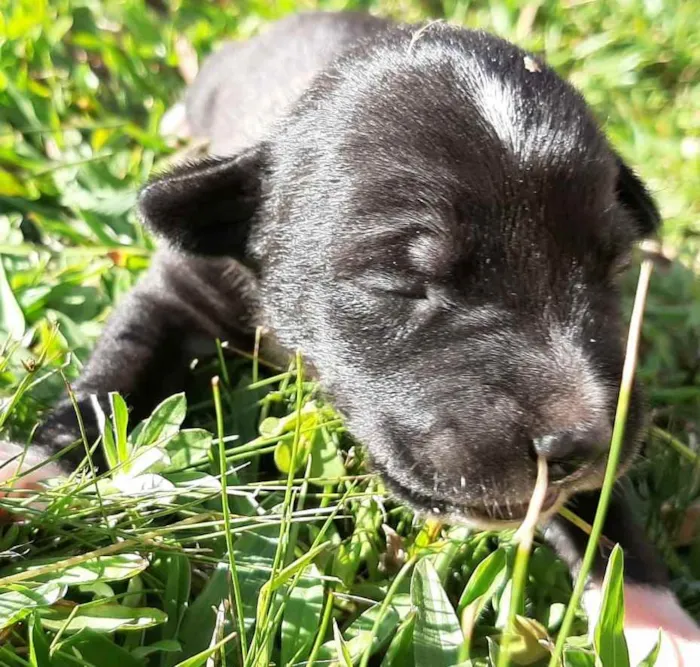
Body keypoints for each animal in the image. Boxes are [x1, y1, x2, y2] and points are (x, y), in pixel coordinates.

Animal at [2, 13, 696, 664]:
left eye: (614, 268)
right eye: (402, 282)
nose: (583, 444)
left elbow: (602, 516)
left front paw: (659, 626)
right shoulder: (177, 292)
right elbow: (115, 372)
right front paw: (32, 466)